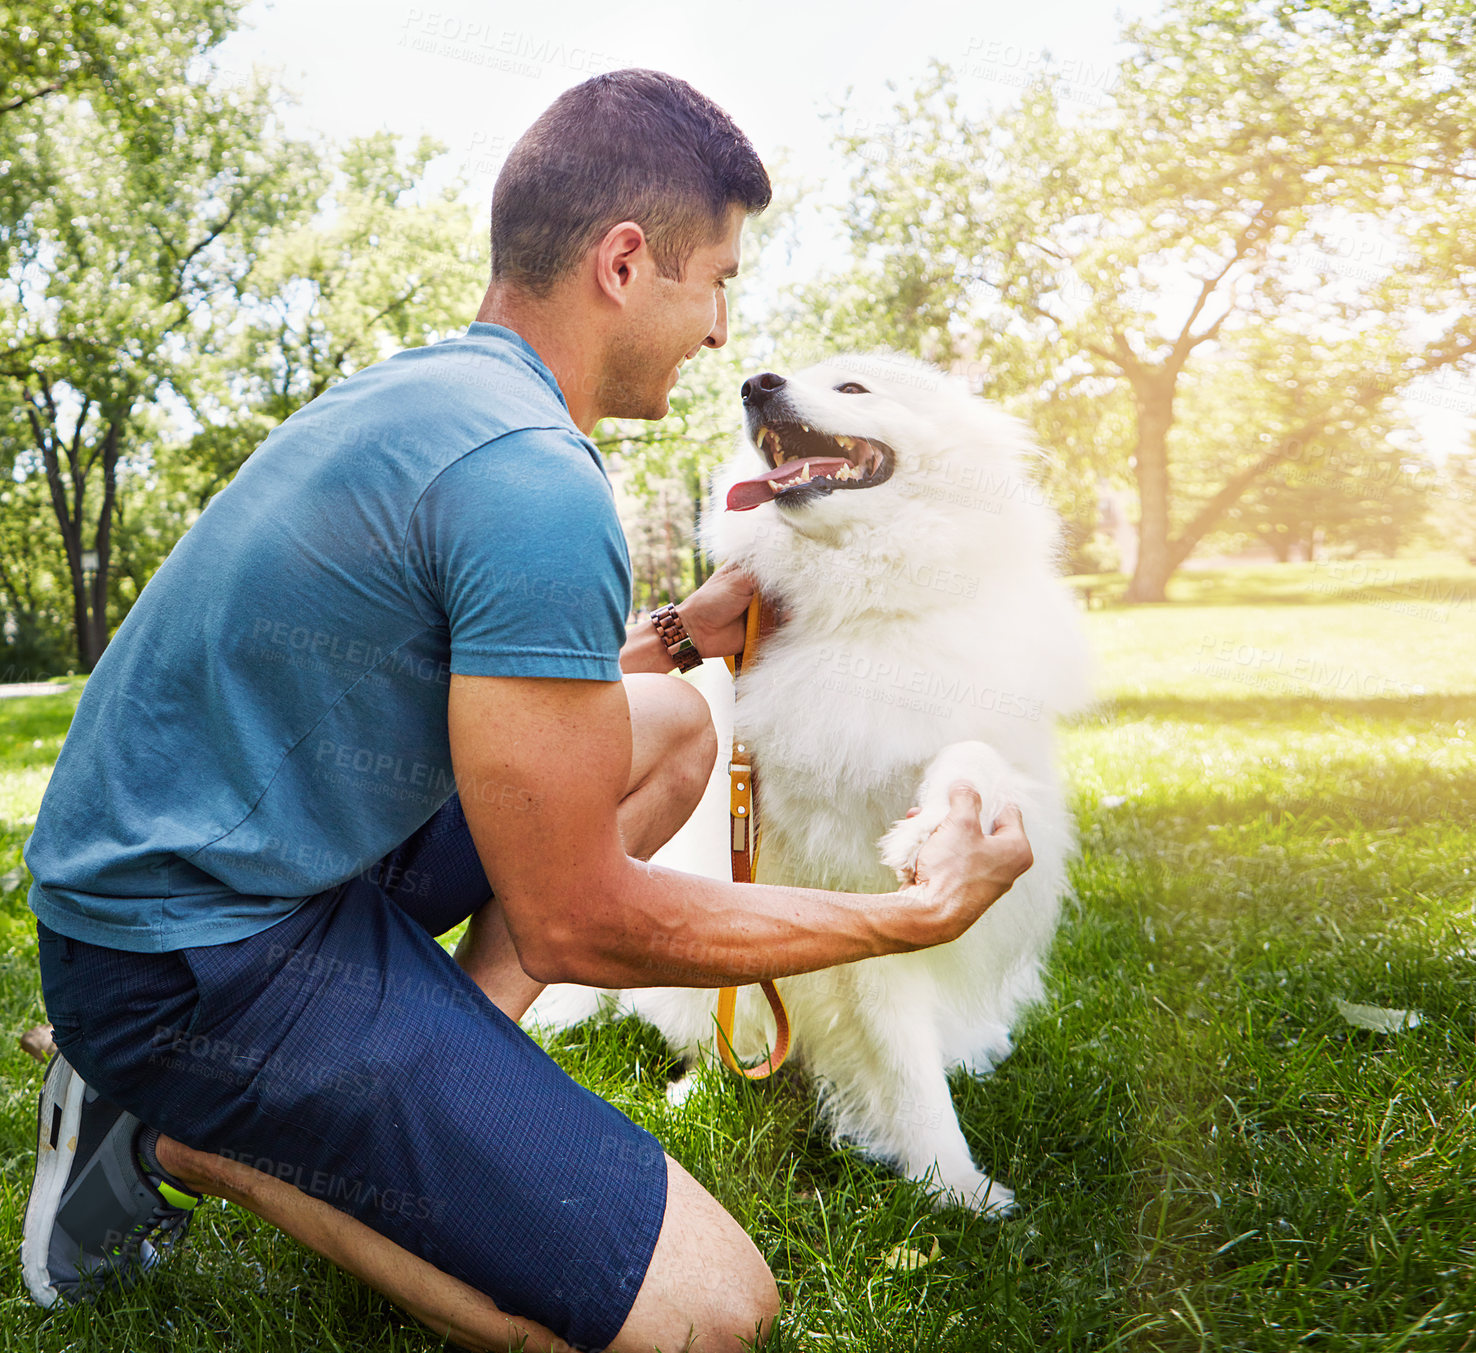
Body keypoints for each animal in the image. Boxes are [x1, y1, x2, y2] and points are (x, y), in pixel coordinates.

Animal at [537, 351, 1092, 1215]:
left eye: (854, 388)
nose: (754, 384)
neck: (864, 606)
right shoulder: (848, 891)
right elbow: (903, 1062)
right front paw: (954, 1184)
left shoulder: (1005, 750)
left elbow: (972, 757)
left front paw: (932, 826)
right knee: (721, 1032)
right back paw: (696, 1091)